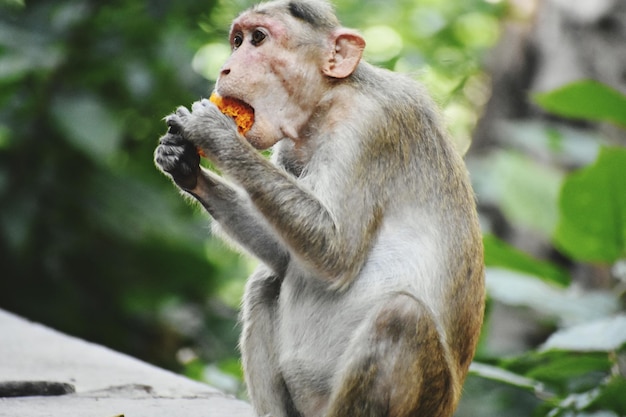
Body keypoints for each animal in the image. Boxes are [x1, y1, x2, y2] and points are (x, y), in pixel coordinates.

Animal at [154, 1, 486, 414]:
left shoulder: (369, 128)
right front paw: (182, 162)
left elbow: (336, 253)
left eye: (257, 39)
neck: (326, 104)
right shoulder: (290, 149)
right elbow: (287, 257)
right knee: (266, 284)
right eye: (237, 41)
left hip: (427, 399)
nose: (225, 69)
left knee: (399, 318)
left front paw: (215, 133)